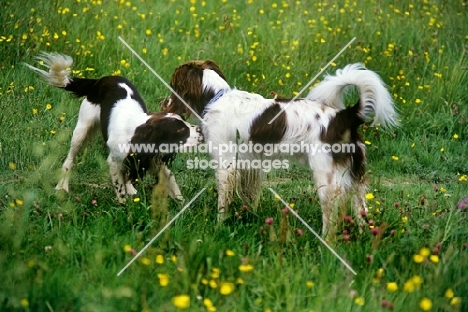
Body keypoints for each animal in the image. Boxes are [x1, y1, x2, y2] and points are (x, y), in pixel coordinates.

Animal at [24, 53, 202, 205]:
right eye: (180, 131)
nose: (201, 130)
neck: (137, 134)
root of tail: (100, 80)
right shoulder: (115, 161)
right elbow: (119, 186)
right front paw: (124, 207)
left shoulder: (153, 158)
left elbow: (170, 181)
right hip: (82, 130)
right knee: (69, 160)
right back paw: (62, 187)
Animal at [162, 60, 398, 236]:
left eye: (173, 85)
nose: (163, 103)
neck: (215, 97)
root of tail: (345, 115)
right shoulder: (250, 164)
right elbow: (250, 196)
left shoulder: (226, 164)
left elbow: (223, 201)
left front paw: (219, 225)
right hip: (356, 177)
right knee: (361, 211)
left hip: (327, 179)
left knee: (330, 221)